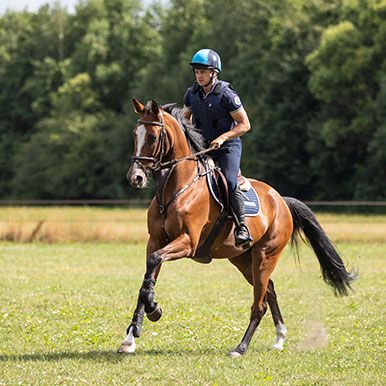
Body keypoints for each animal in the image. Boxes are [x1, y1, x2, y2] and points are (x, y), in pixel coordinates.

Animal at [117, 98, 356, 358]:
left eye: (152, 137)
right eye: (134, 134)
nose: (136, 178)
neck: (177, 188)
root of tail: (281, 200)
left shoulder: (187, 242)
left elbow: (152, 268)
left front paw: (154, 310)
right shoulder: (156, 241)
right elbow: (147, 280)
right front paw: (132, 336)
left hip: (265, 255)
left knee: (259, 303)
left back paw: (241, 347)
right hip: (242, 259)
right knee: (270, 289)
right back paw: (279, 338)